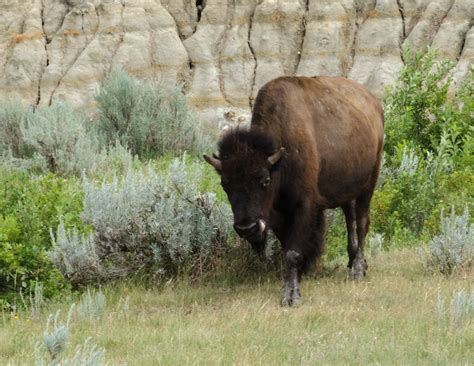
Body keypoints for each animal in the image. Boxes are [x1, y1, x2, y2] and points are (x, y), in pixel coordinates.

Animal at [203, 77, 382, 306]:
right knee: (350, 220)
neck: (280, 161)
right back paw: (353, 263)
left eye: (265, 180)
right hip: (347, 190)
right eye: (225, 184)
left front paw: (291, 295)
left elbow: (293, 252)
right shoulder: (278, 213)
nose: (247, 228)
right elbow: (287, 247)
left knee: (361, 222)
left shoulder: (304, 206)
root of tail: (374, 103)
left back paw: (358, 270)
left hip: (369, 182)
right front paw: (296, 280)